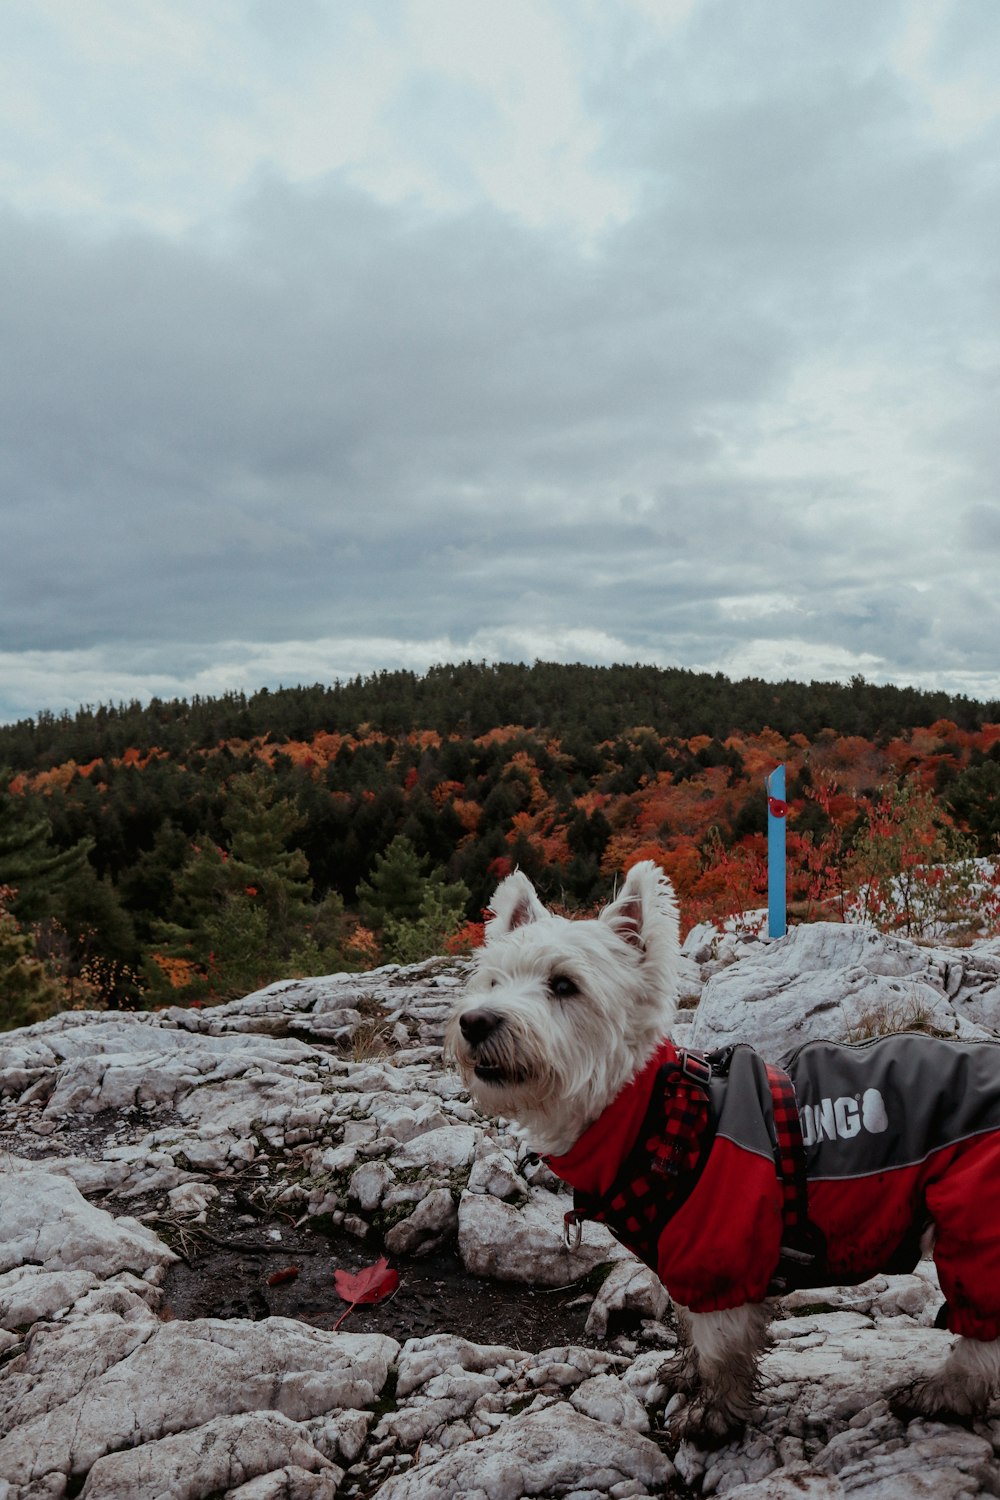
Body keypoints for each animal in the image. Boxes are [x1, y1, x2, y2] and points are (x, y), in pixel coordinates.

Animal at [446, 870, 1000, 1440]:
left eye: (563, 985)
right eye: (493, 981)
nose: (476, 1022)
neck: (651, 1112)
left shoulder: (719, 1256)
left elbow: (720, 1350)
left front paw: (712, 1416)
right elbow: (692, 1330)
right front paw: (685, 1375)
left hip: (976, 1223)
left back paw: (945, 1393)